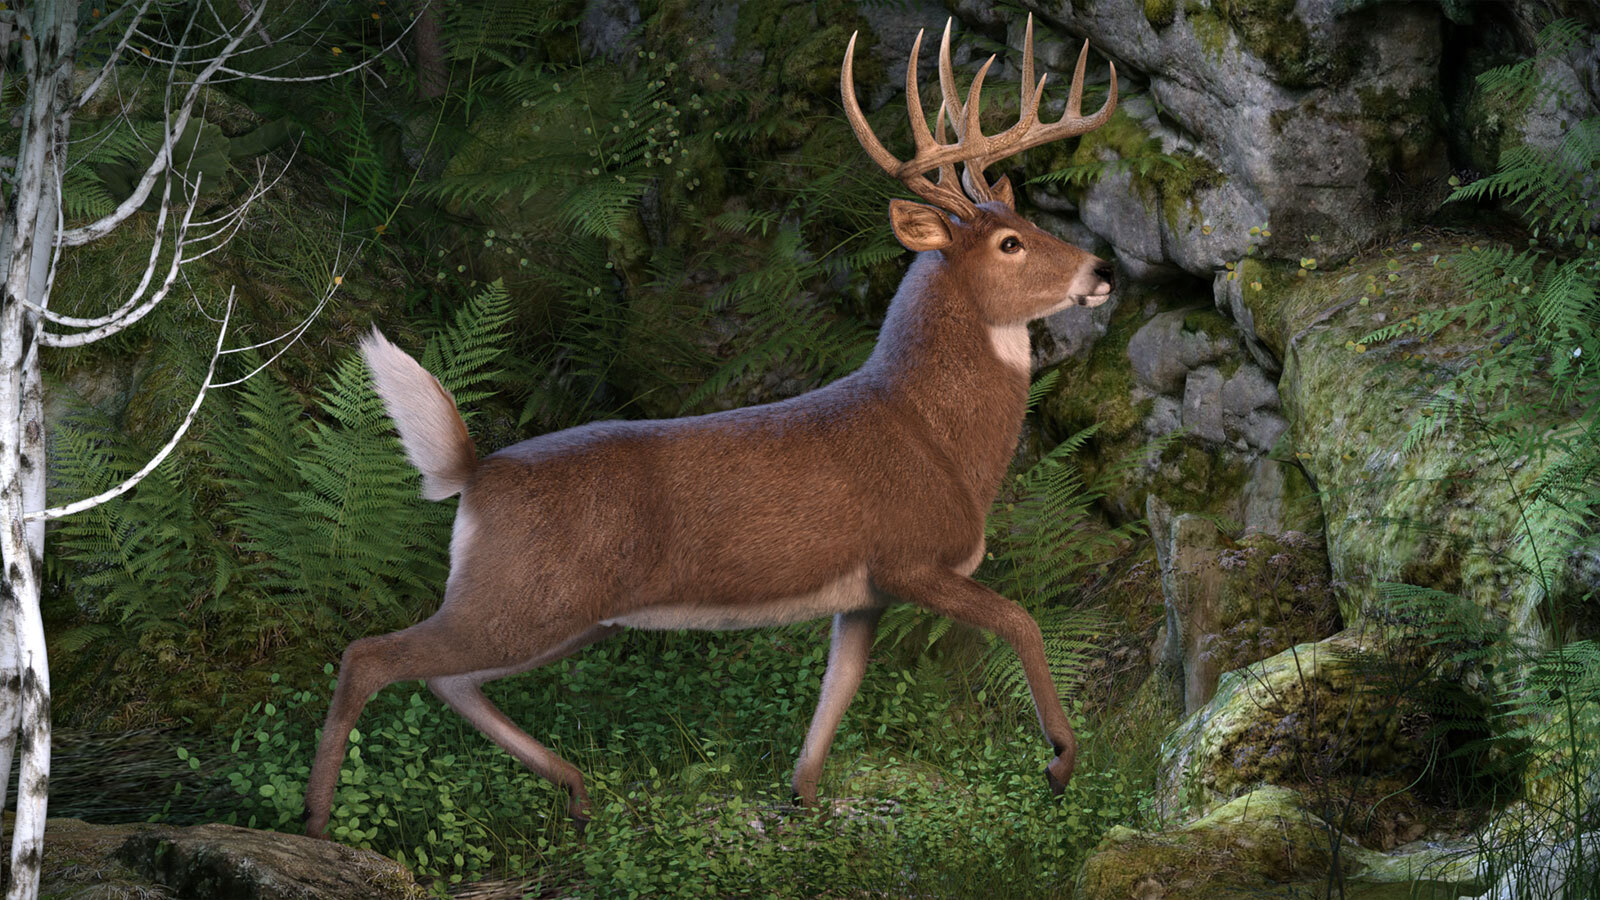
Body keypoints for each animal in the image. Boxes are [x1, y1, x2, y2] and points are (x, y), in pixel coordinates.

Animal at [304, 15, 1117, 839]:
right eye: (1010, 243)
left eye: (1026, 222)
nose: (1101, 271)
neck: (936, 436)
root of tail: (475, 473)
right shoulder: (912, 558)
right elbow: (1020, 619)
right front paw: (1060, 761)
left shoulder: (862, 594)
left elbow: (834, 699)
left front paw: (806, 802)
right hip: (524, 596)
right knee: (370, 655)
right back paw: (314, 822)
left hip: (568, 614)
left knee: (453, 681)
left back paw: (575, 788)